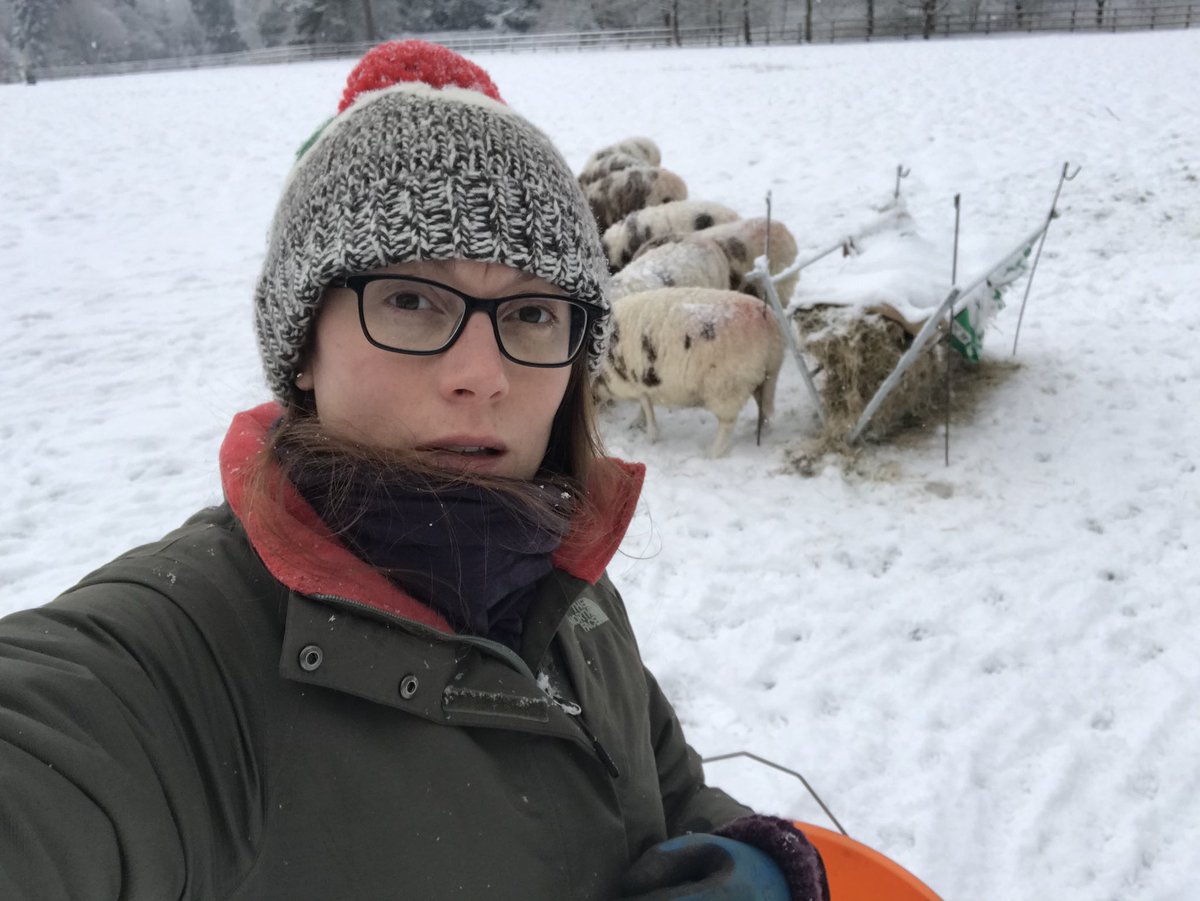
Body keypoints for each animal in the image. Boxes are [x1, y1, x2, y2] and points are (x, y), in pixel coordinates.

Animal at [595, 287, 785, 458]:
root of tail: (768, 322)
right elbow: (645, 407)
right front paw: (638, 423)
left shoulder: (636, 383)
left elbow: (647, 409)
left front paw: (650, 436)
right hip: (765, 379)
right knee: (764, 408)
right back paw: (759, 430)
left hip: (727, 387)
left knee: (727, 424)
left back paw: (712, 453)